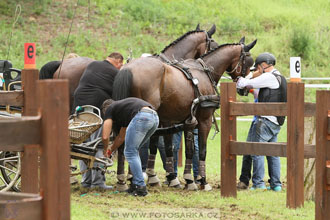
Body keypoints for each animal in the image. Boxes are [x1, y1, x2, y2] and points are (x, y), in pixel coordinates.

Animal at [112, 39, 256, 189]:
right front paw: (202, 181)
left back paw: (123, 179)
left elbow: (187, 150)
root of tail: (128, 68)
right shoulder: (204, 121)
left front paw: (187, 179)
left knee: (122, 144)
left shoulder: (186, 122)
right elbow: (201, 150)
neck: (204, 72)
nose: (245, 89)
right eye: (249, 62)